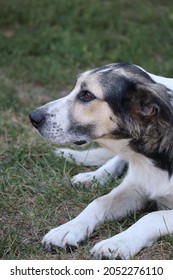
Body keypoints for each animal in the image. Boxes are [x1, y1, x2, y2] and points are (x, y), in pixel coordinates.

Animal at [29, 63, 172, 260]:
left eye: (87, 95)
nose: (33, 117)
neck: (149, 158)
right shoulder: (137, 183)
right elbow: (99, 202)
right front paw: (67, 229)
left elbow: (153, 216)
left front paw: (117, 243)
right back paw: (93, 177)